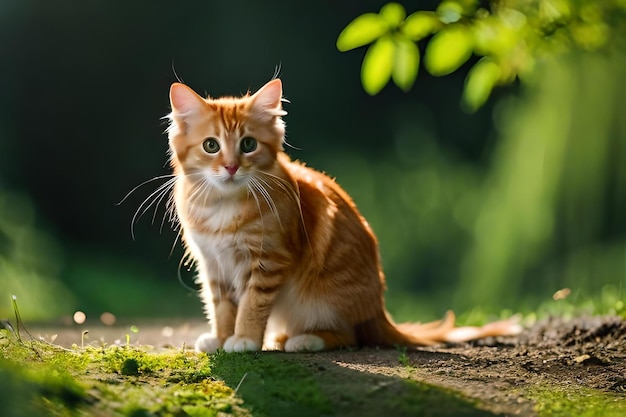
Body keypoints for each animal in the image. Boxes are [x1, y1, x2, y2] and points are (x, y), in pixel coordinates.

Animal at [163, 78, 520, 352]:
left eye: (248, 144)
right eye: (211, 146)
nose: (231, 167)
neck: (222, 207)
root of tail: (378, 309)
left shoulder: (268, 261)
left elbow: (251, 305)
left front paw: (244, 339)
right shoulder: (214, 264)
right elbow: (221, 307)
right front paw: (221, 338)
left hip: (320, 298)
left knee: (349, 336)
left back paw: (303, 340)